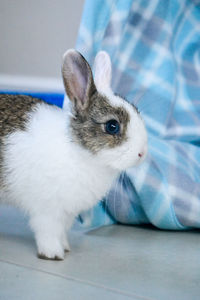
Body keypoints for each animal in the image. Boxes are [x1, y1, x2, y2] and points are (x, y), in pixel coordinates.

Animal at [0, 49, 147, 260]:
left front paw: (66, 247)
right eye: (112, 126)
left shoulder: (66, 214)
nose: (142, 153)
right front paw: (53, 254)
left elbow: (62, 232)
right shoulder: (47, 211)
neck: (79, 150)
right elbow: (48, 232)